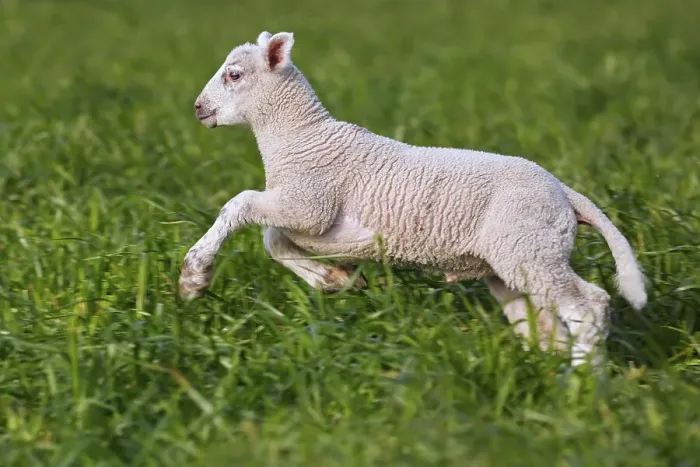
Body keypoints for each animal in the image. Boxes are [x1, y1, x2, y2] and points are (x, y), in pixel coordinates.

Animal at [179, 30, 648, 366]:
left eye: (234, 75)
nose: (198, 108)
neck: (301, 137)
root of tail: (564, 191)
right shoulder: (313, 219)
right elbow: (273, 240)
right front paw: (334, 279)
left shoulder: (311, 202)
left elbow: (241, 205)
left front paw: (193, 276)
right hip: (516, 259)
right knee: (544, 323)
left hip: (531, 245)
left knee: (590, 304)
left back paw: (583, 383)